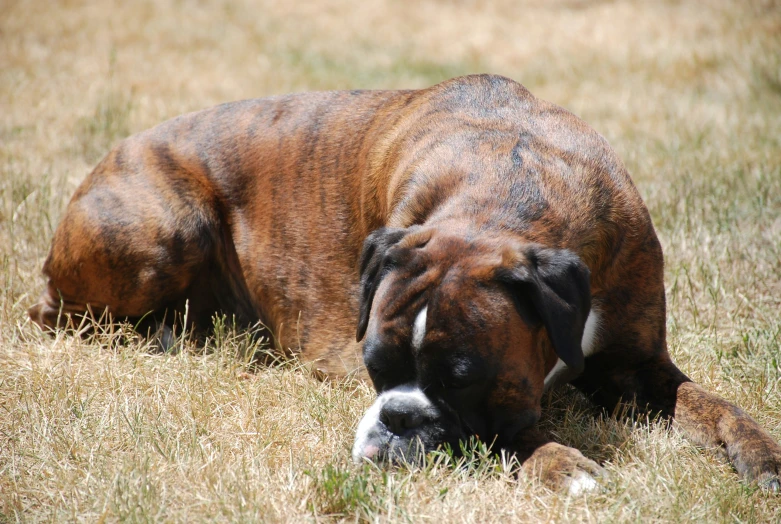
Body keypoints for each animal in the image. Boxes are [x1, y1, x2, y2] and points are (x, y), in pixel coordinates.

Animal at [29, 75, 780, 494]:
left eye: (462, 378)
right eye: (374, 368)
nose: (395, 420)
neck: (514, 183)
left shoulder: (636, 366)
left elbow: (718, 407)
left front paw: (763, 454)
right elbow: (507, 436)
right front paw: (561, 464)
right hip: (165, 231)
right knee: (61, 317)